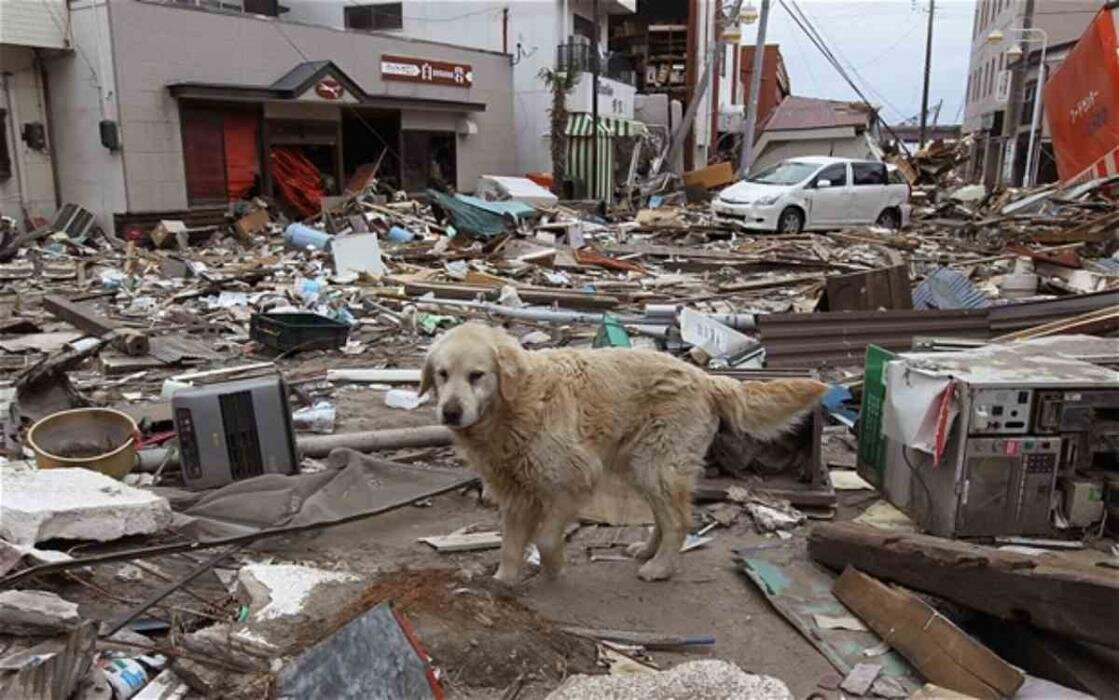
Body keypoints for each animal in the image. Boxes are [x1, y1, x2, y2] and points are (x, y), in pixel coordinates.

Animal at [420, 322, 832, 581]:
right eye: (442, 374)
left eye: (477, 375)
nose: (450, 412)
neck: (516, 406)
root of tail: (704, 377)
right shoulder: (515, 492)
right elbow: (510, 542)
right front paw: (504, 579)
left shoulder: (575, 478)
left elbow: (546, 537)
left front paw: (554, 568)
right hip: (642, 466)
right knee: (664, 519)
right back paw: (647, 552)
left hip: (658, 465)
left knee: (678, 521)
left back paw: (660, 569)